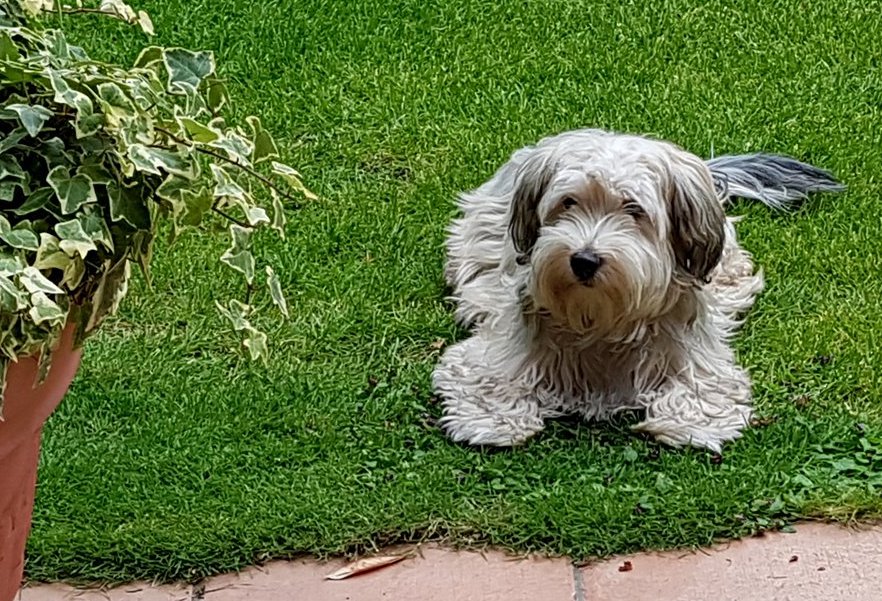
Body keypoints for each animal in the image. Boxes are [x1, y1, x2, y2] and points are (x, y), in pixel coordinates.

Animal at [432, 129, 843, 452]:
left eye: (633, 209)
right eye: (568, 202)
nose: (584, 260)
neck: (599, 316)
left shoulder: (697, 355)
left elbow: (701, 389)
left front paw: (690, 426)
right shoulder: (497, 348)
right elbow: (490, 378)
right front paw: (491, 422)